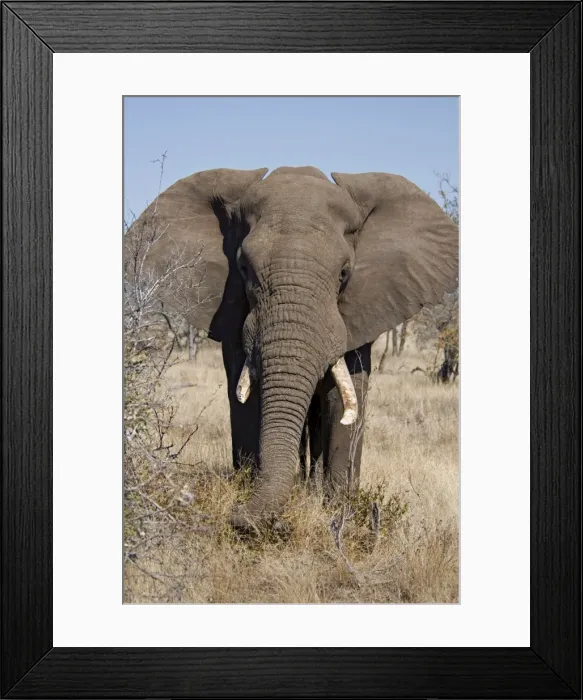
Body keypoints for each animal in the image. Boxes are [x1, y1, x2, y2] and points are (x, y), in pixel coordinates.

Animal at [127, 166, 458, 531]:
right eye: (244, 269)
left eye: (344, 273)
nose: (237, 516)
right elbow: (246, 398)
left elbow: (342, 398)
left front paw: (339, 511)